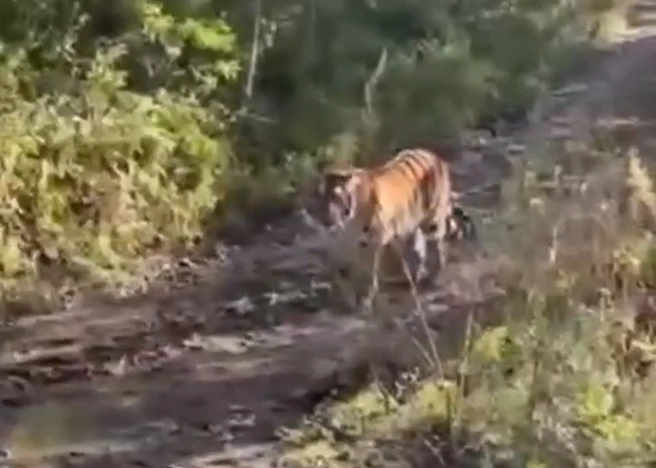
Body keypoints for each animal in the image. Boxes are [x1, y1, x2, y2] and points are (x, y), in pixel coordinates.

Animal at [314, 147, 477, 310]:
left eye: (335, 197)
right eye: (319, 196)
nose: (323, 219)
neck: (348, 221)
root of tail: (434, 156)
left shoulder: (372, 243)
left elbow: (368, 272)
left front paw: (365, 298)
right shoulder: (345, 243)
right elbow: (343, 270)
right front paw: (344, 296)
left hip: (432, 220)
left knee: (436, 247)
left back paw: (432, 278)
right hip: (409, 226)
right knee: (418, 251)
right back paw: (412, 278)